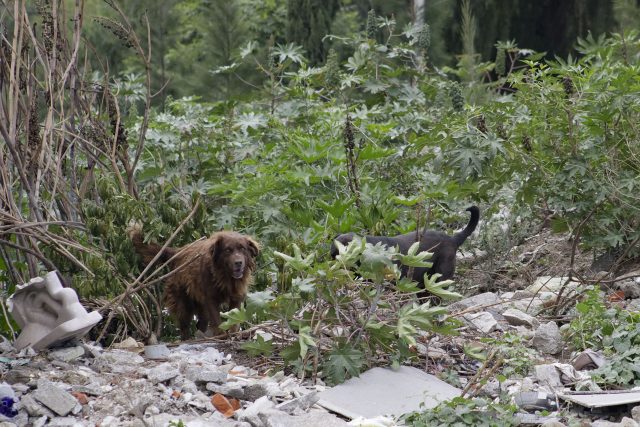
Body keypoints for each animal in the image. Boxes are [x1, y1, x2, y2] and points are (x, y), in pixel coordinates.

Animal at [131, 231, 262, 342]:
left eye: (243, 249)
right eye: (228, 250)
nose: (238, 263)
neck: (225, 277)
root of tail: (178, 252)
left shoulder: (236, 296)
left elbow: (234, 317)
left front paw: (234, 334)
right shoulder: (211, 298)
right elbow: (216, 320)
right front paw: (222, 335)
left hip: (201, 305)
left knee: (200, 323)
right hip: (183, 301)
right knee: (184, 323)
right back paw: (186, 338)